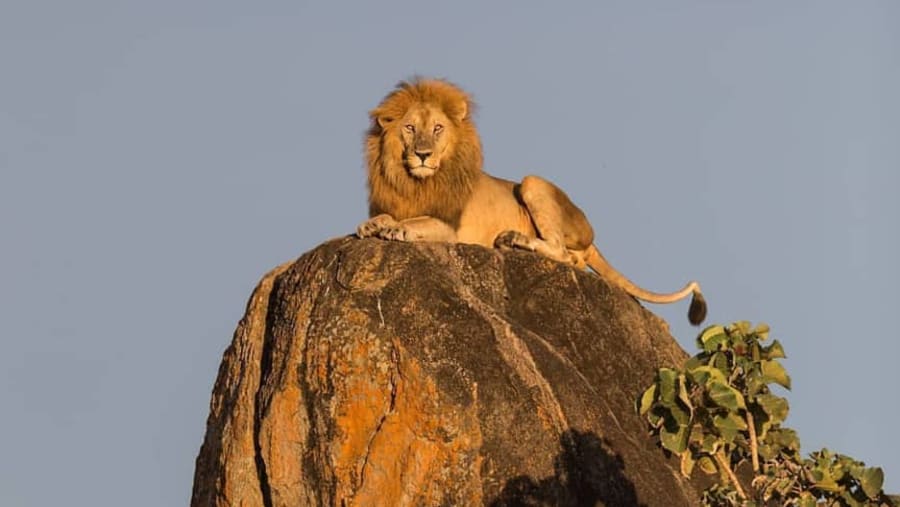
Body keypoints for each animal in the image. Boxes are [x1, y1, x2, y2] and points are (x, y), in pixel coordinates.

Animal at [356, 78, 706, 325]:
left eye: (438, 128)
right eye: (410, 128)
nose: (423, 154)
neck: (415, 183)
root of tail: (591, 236)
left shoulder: (450, 228)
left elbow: (419, 221)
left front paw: (397, 230)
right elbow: (384, 217)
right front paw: (371, 226)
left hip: (532, 183)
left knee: (562, 252)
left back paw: (515, 239)